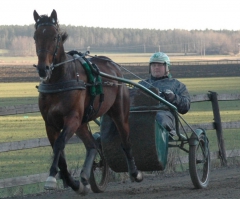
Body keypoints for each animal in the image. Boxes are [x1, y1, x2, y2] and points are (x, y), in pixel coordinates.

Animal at [33, 9, 142, 194]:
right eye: (35, 36)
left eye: (55, 37)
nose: (43, 69)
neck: (60, 79)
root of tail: (112, 64)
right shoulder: (50, 123)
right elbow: (59, 154)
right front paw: (73, 182)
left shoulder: (72, 118)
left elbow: (60, 144)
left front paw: (52, 177)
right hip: (83, 122)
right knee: (92, 145)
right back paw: (83, 178)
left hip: (119, 113)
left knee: (126, 141)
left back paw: (135, 172)